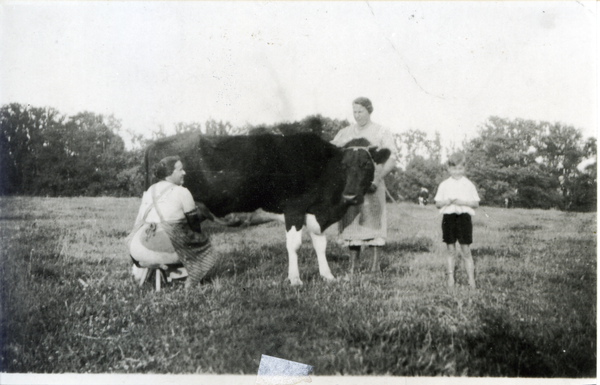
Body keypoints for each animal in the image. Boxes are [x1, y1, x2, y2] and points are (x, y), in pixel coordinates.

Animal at [144, 130, 390, 284]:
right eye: (344, 165)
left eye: (366, 164)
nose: (351, 195)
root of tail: (154, 144)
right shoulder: (294, 210)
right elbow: (294, 246)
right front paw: (295, 279)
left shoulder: (313, 213)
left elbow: (320, 245)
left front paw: (328, 276)